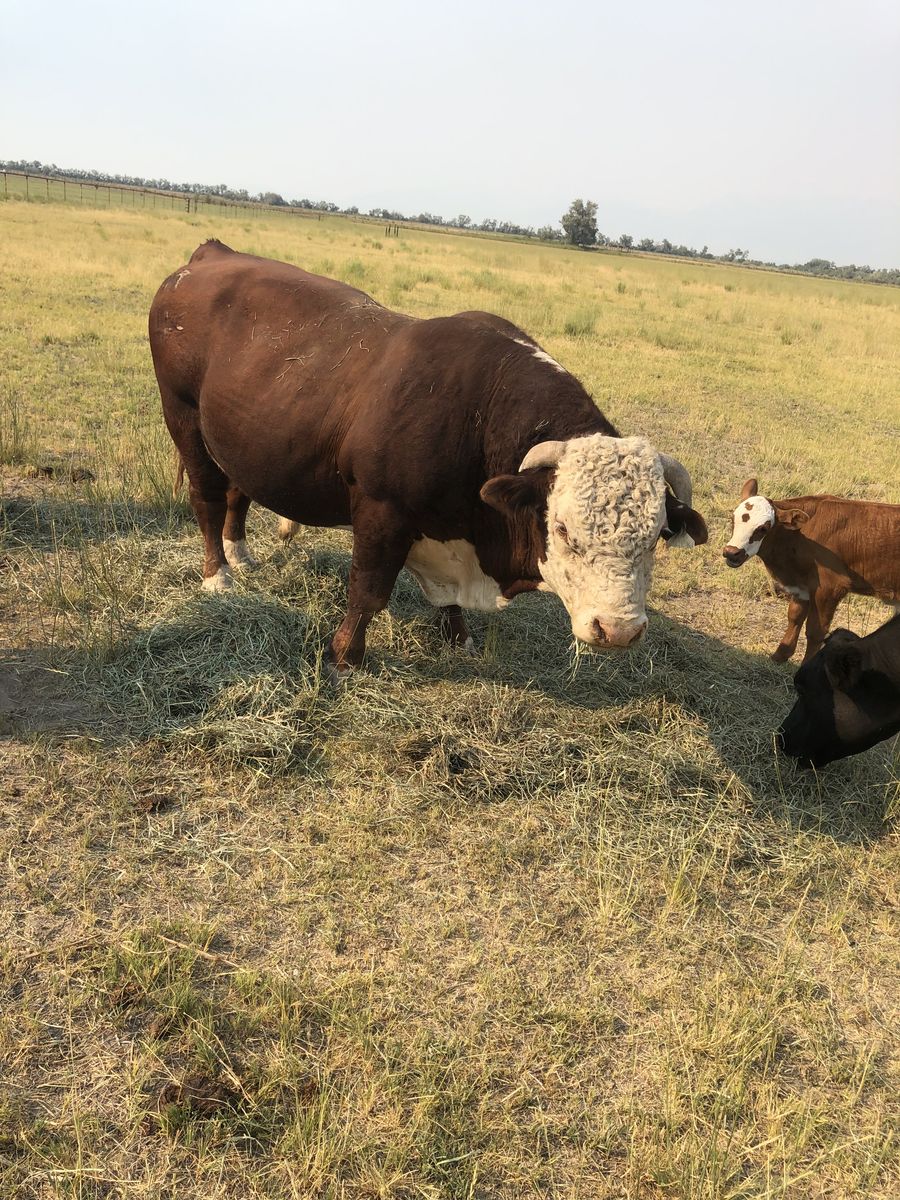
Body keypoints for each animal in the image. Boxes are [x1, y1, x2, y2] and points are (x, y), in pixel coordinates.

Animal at [149, 241, 707, 674]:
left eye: (658, 535)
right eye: (565, 530)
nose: (618, 629)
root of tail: (211, 255)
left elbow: (450, 603)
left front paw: (458, 635)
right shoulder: (380, 512)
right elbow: (368, 592)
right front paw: (344, 657)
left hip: (239, 436)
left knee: (238, 489)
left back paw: (240, 553)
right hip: (183, 419)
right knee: (207, 497)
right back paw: (218, 574)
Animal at [723, 479, 900, 662]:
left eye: (763, 529)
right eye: (733, 519)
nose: (731, 552)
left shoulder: (830, 587)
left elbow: (816, 631)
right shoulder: (802, 585)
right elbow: (794, 616)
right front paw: (780, 655)